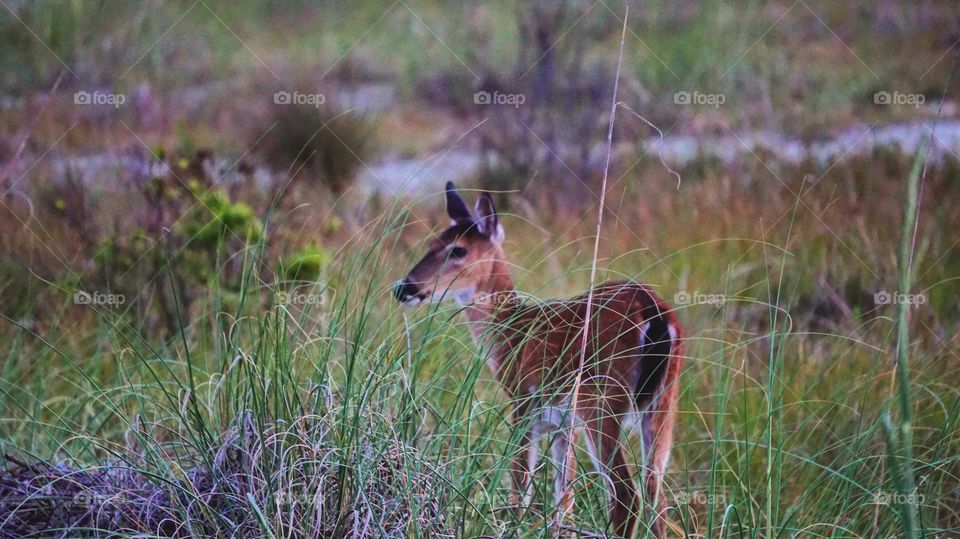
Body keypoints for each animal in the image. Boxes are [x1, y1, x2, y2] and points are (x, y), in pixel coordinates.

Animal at [394, 182, 683, 538]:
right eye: (431, 243)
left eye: (458, 250)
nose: (405, 288)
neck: (509, 332)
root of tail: (655, 313)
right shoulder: (564, 425)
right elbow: (564, 496)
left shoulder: (522, 403)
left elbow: (521, 487)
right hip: (663, 403)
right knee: (656, 492)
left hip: (601, 401)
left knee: (626, 494)